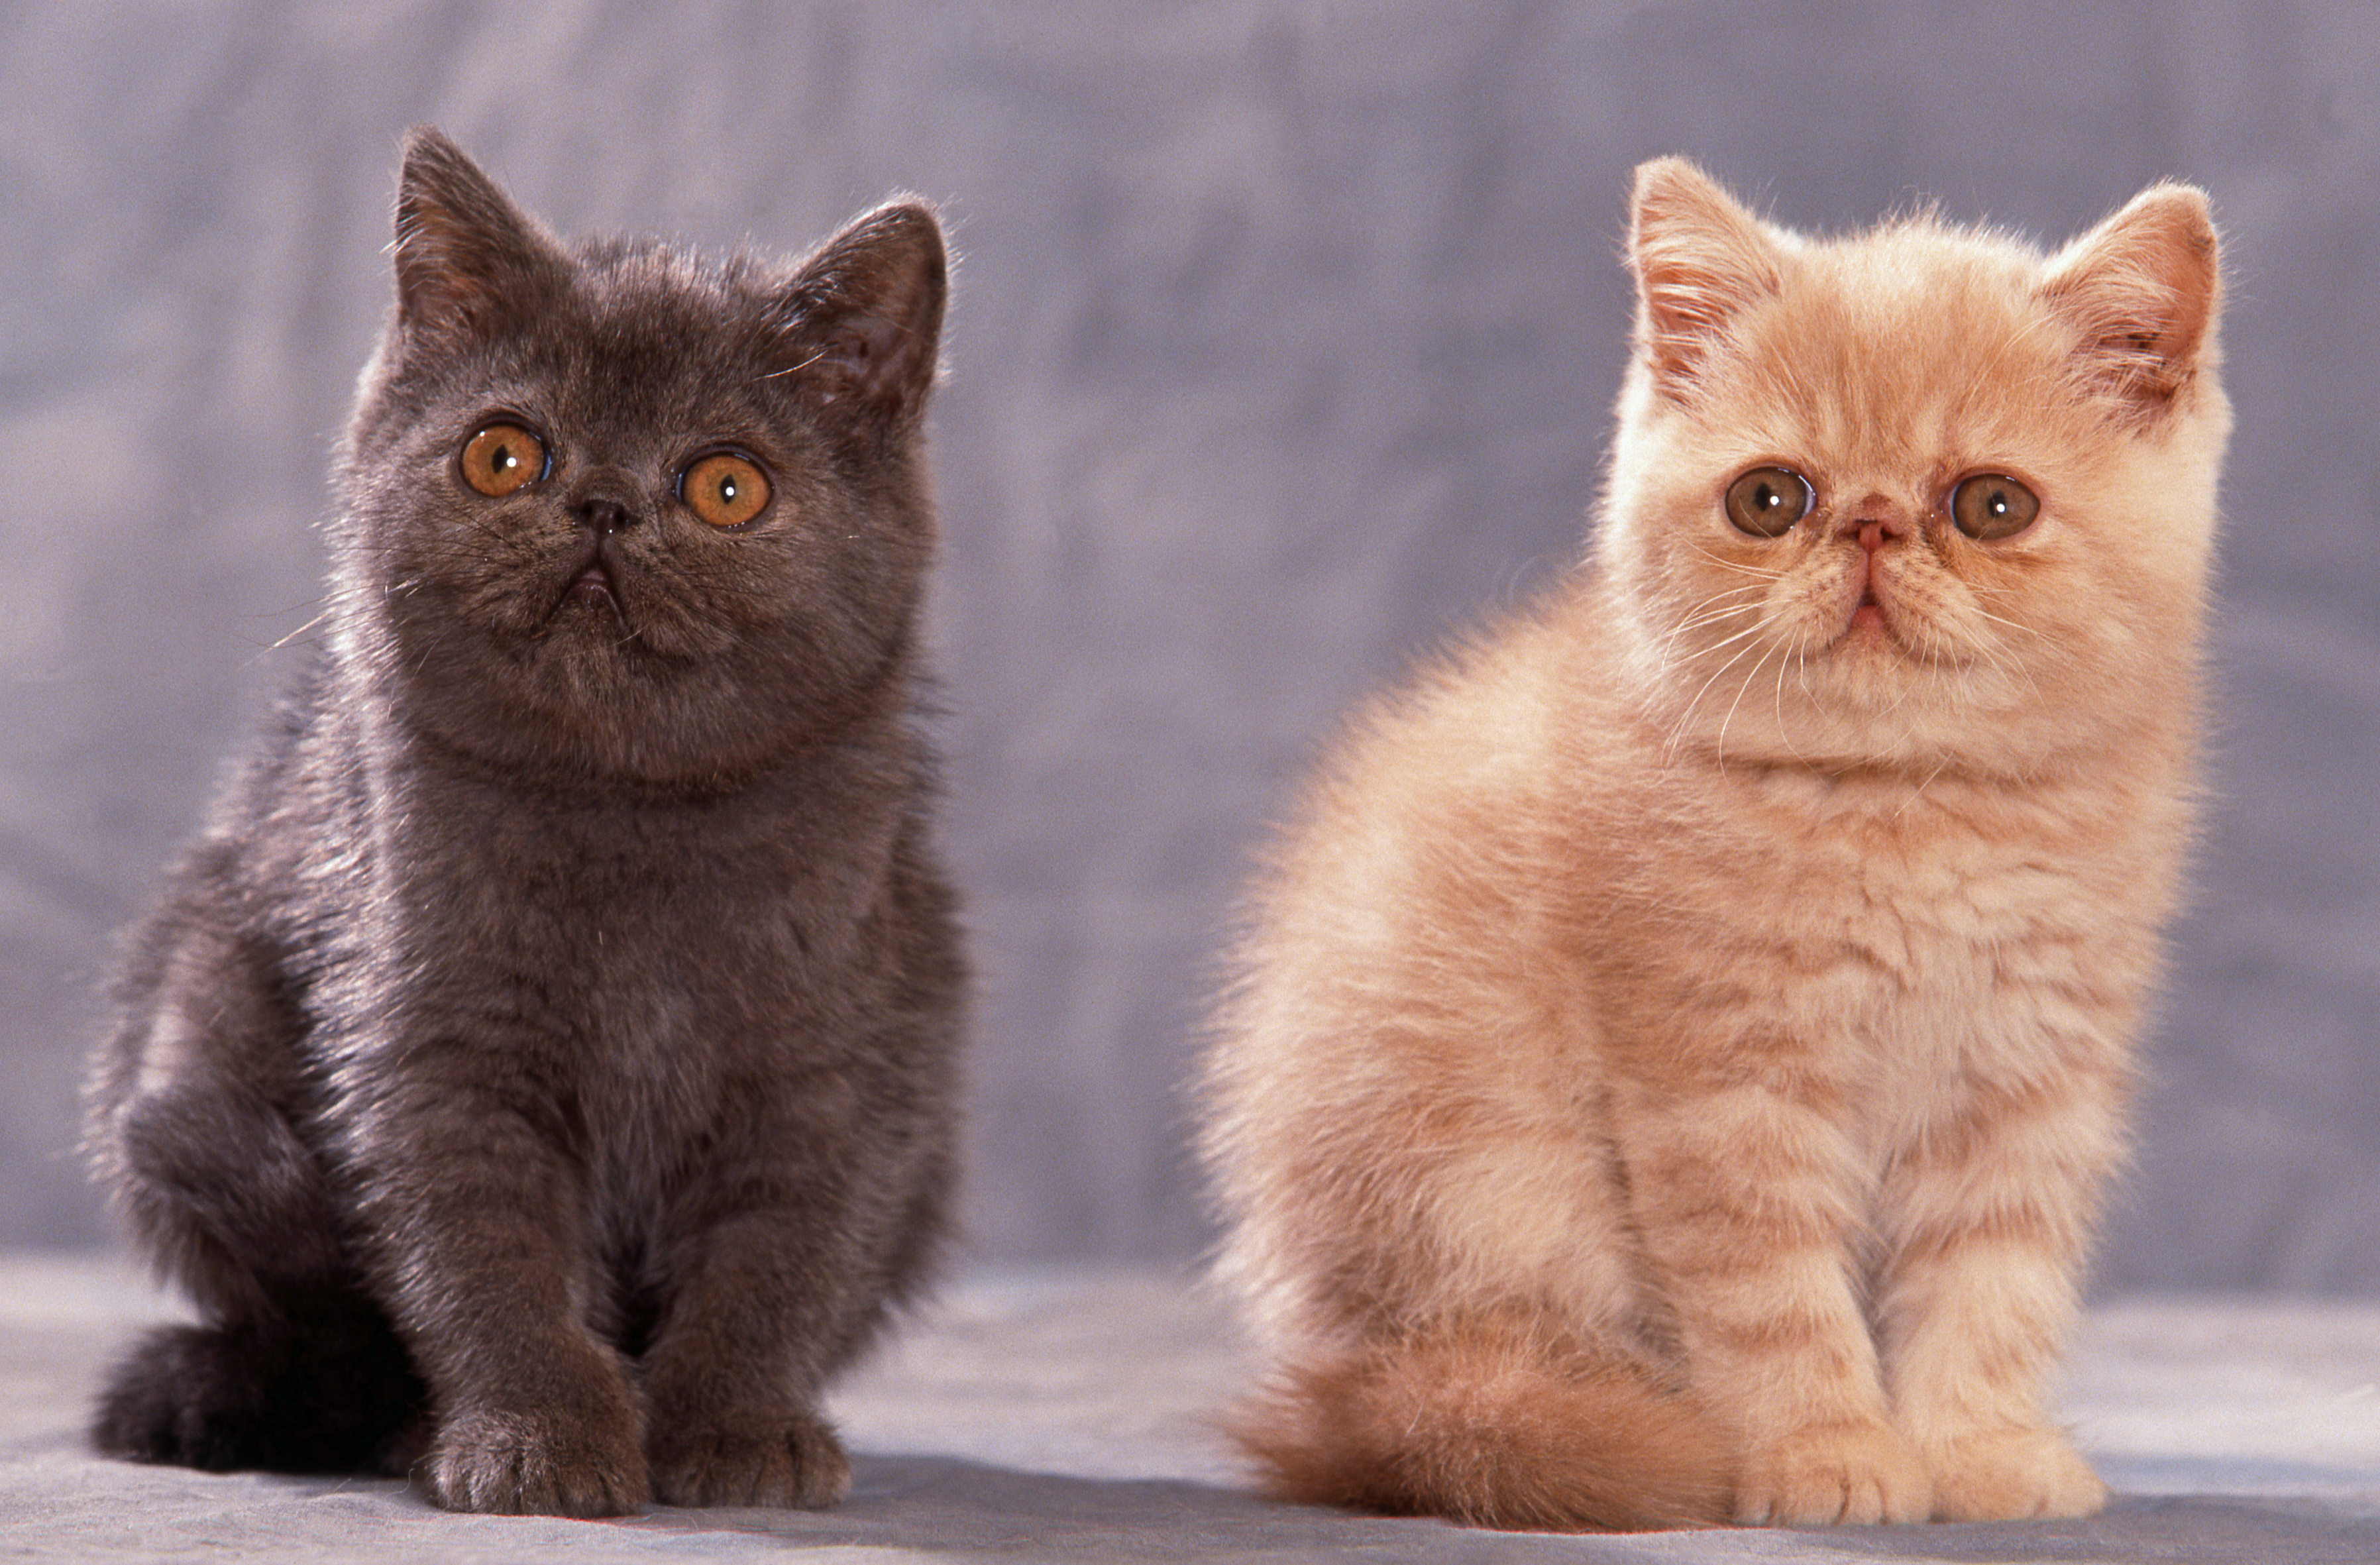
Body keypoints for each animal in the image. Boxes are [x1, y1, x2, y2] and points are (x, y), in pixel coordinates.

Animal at [90, 127, 966, 1522]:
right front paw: (533, 1438)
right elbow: (482, 1252)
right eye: (504, 455)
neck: (632, 824)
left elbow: (782, 1252)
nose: (603, 504)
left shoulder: (847, 1055)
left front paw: (742, 1430)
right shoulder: (431, 1042)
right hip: (191, 1026)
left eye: (728, 486)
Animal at [1209, 158, 2228, 1522]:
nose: (1870, 525)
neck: (1904, 811)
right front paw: (1825, 1455)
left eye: (1992, 505)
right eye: (1769, 498)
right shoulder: (1716, 1082)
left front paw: (1980, 1450)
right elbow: (1771, 1300)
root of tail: (1349, 1366)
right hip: (1494, 1201)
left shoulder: (2025, 1078)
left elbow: (1991, 1280)